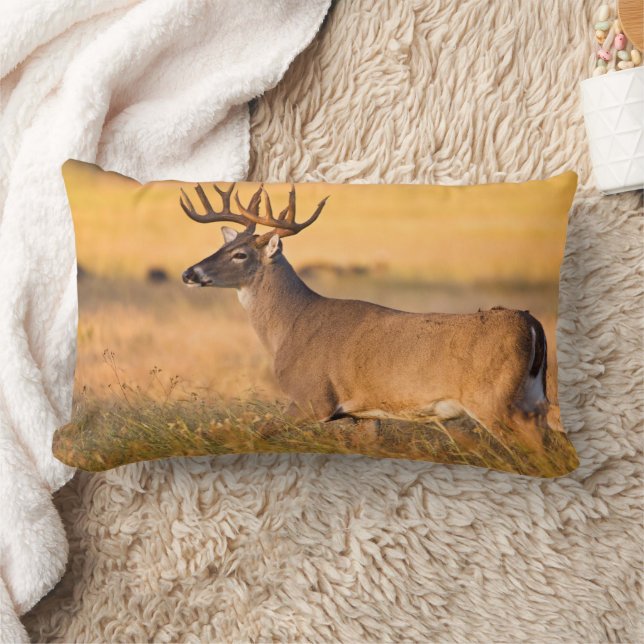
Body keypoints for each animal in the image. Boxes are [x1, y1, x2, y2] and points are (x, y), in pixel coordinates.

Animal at [180, 183, 559, 438]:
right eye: (223, 245)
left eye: (240, 254)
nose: (189, 273)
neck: (292, 326)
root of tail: (531, 322)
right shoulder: (364, 414)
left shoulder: (313, 398)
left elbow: (260, 432)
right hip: (532, 395)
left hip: (493, 399)